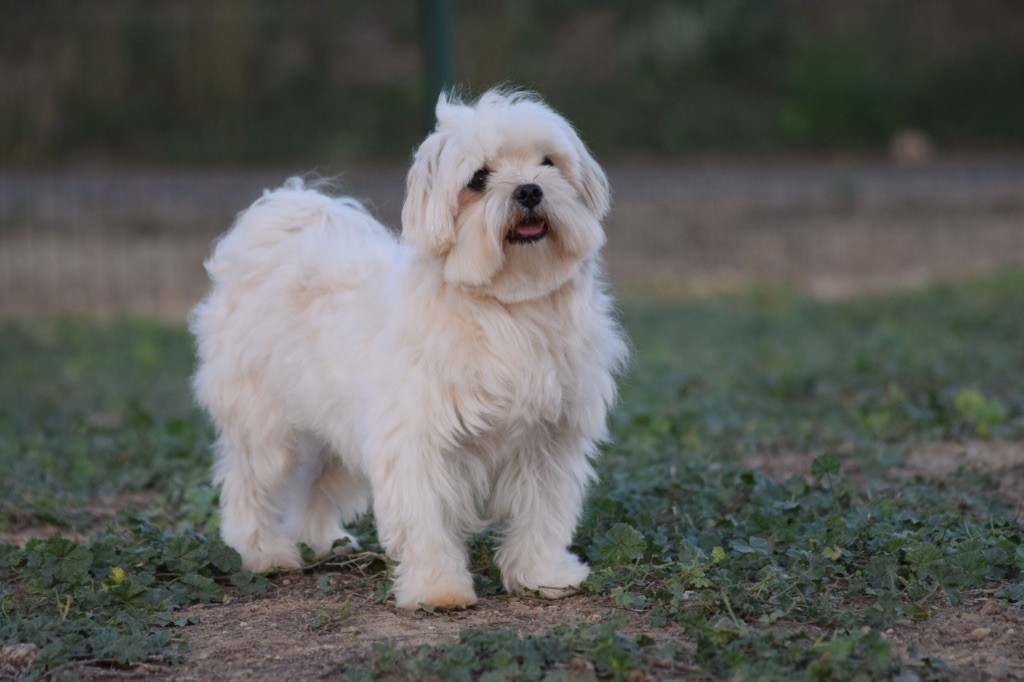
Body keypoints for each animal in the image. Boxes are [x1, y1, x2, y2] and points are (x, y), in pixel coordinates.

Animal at [189, 89, 626, 606]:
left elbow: (543, 515)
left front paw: (542, 574)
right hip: (265, 428)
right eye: (478, 179)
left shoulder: (548, 443)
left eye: (548, 163)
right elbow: (427, 519)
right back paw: (262, 553)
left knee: (317, 484)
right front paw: (439, 588)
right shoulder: (419, 441)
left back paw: (322, 541)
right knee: (249, 486)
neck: (507, 308)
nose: (529, 190)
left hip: (340, 430)